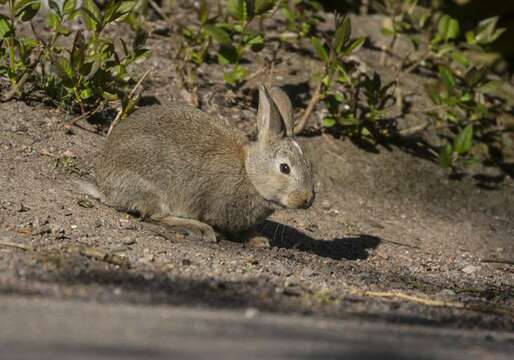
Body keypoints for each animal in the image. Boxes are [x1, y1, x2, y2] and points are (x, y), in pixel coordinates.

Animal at [94, 83, 314, 245]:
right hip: (152, 186)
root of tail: (104, 188)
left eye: (309, 165)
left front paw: (259, 240)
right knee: (155, 215)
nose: (307, 200)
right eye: (285, 168)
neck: (249, 172)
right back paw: (200, 229)